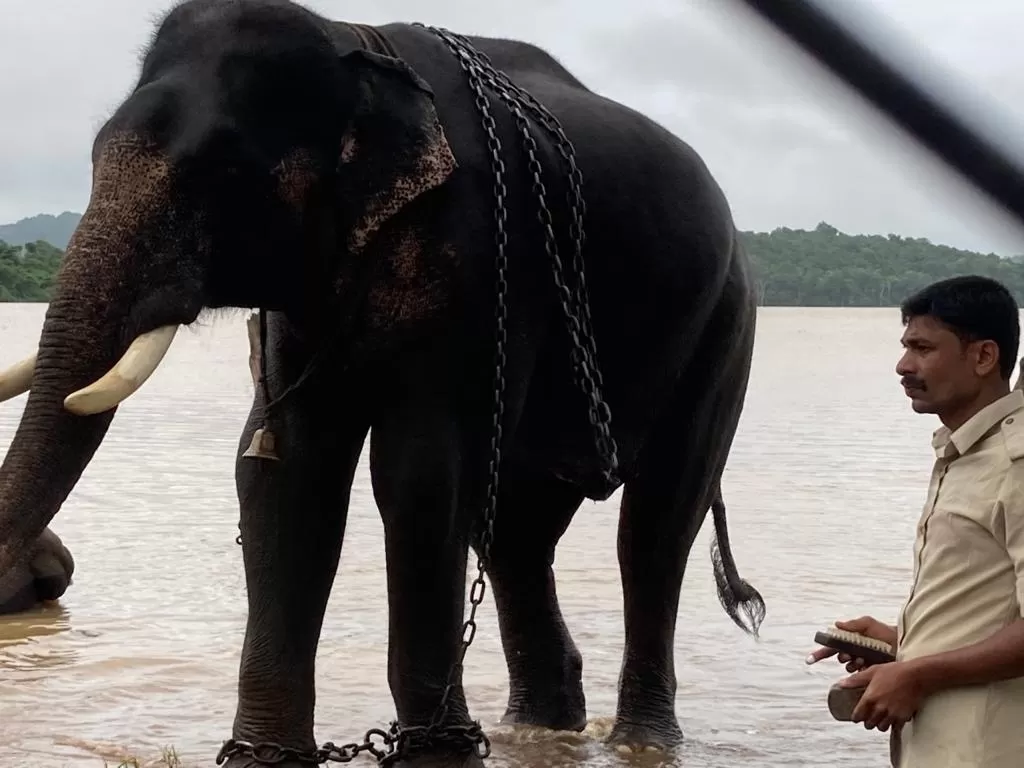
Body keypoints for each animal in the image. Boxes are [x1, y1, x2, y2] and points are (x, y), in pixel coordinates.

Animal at [0, 3, 770, 765]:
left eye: (224, 172)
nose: (41, 578)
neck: (352, 42)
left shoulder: (485, 261)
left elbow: (422, 474)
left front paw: (438, 758)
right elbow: (283, 469)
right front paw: (263, 759)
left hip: (726, 323)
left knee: (657, 519)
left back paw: (640, 742)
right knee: (516, 531)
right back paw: (537, 731)